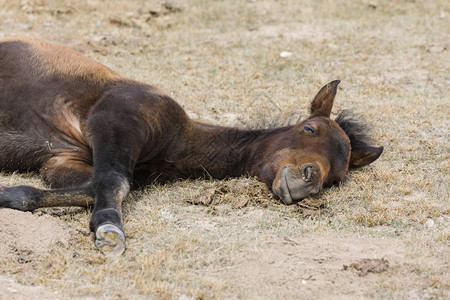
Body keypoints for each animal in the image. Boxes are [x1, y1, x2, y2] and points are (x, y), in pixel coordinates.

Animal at [0, 38, 384, 255]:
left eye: (336, 179)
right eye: (309, 128)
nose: (308, 180)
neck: (177, 142)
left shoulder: (61, 160)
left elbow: (91, 186)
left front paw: (10, 195)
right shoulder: (114, 119)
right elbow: (113, 182)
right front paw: (110, 232)